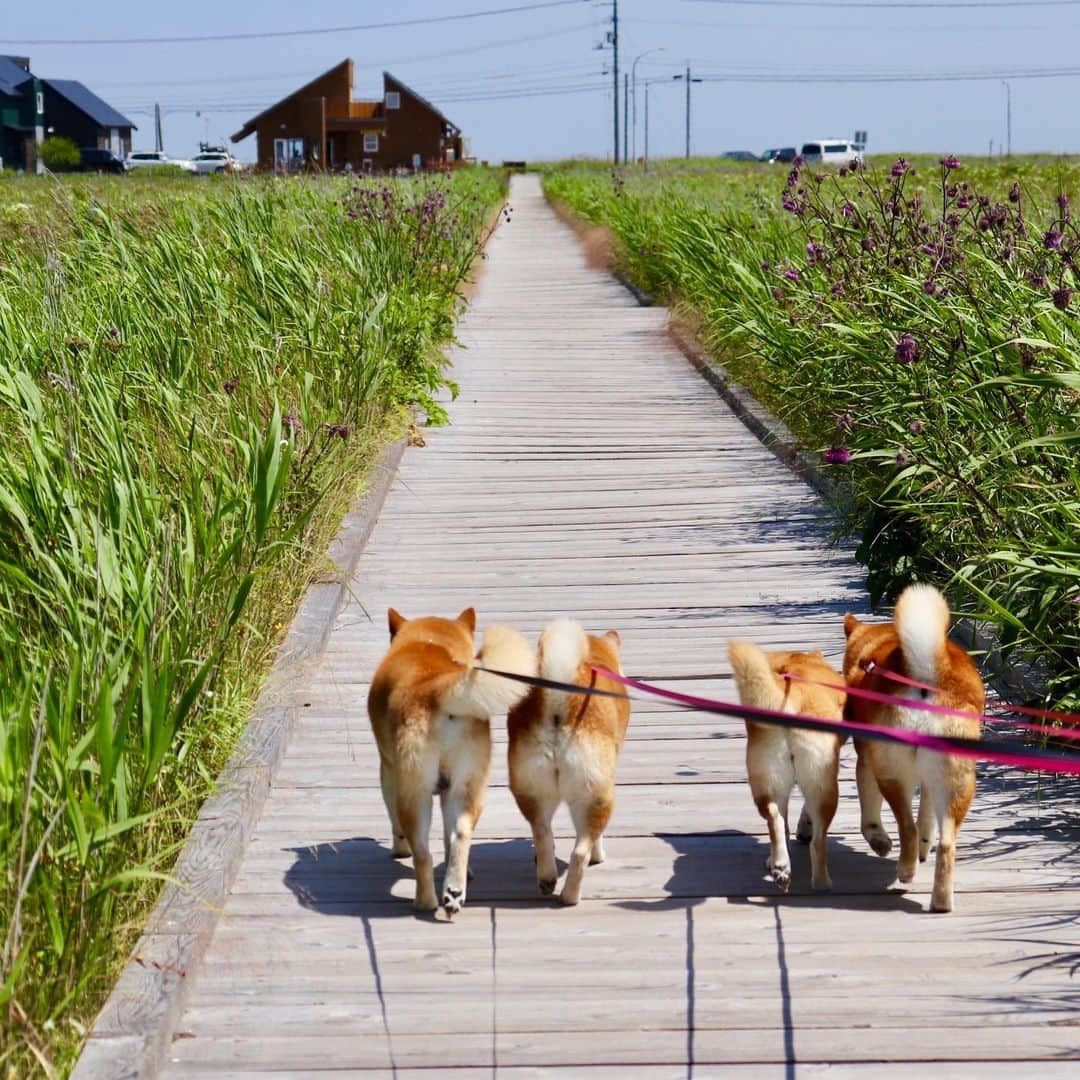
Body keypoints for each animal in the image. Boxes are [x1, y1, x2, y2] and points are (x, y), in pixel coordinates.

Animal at [369, 609, 533, 911]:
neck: (429, 642)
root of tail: (437, 687)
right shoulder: (448, 790)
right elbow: (448, 836)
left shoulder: (388, 770)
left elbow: (394, 818)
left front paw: (399, 849)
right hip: (469, 785)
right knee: (461, 834)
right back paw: (454, 889)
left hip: (414, 792)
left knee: (422, 853)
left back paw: (425, 902)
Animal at [507, 622, 630, 907]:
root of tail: (558, 701)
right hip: (598, 796)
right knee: (580, 852)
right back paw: (570, 897)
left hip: (533, 790)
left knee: (542, 833)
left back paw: (547, 878)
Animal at [730, 639, 846, 894]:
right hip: (824, 786)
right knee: (818, 843)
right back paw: (822, 883)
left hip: (766, 780)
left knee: (776, 821)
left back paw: (780, 867)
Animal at [842, 583, 989, 911]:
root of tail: (926, 679)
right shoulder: (930, 781)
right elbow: (927, 819)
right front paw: (925, 846)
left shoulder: (867, 760)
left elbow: (870, 814)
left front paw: (878, 840)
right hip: (957, 782)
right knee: (946, 843)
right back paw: (941, 901)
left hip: (893, 775)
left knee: (906, 828)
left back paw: (906, 872)